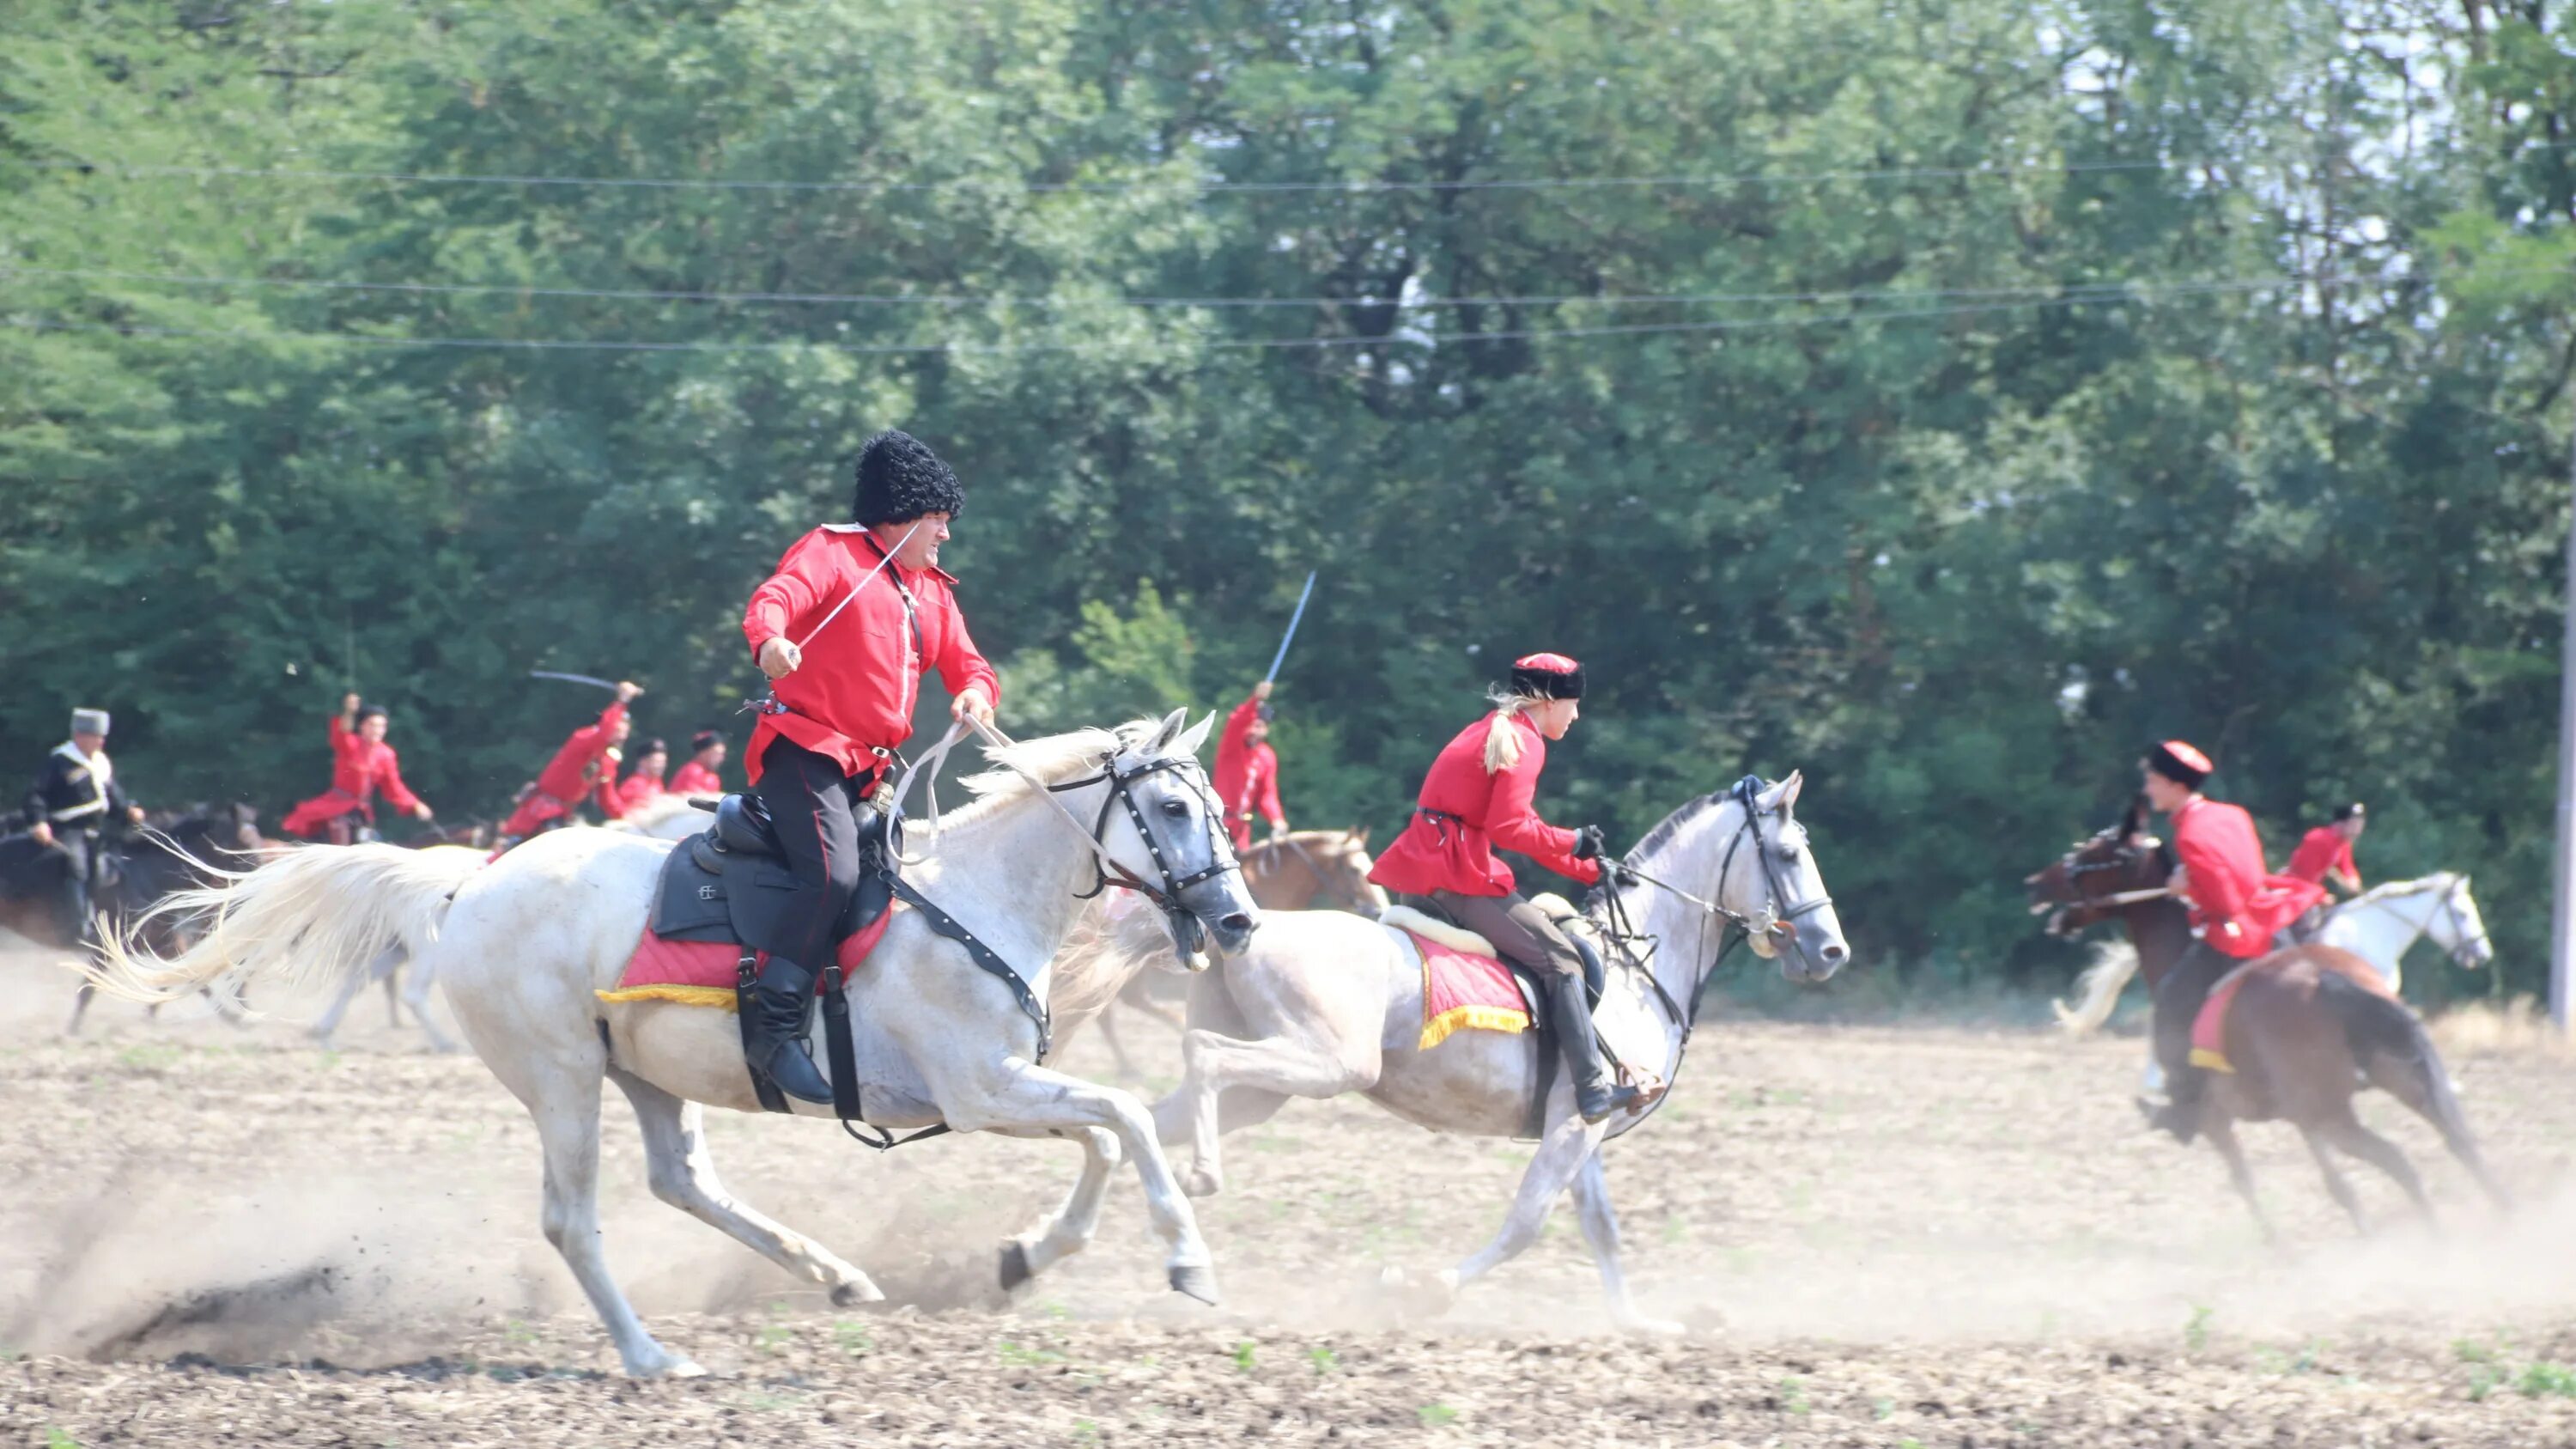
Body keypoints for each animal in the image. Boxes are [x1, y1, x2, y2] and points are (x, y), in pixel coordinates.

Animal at [95, 716, 1262, 1371]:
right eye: (1170, 807)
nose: (1242, 918)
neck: (972, 898)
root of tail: (475, 879)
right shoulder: (981, 1091)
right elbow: (1123, 1122)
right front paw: (1187, 1260)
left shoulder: (1001, 1091)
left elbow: (1105, 1137)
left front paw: (1028, 1254)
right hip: (563, 1081)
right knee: (574, 1221)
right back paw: (652, 1356)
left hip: (648, 1075)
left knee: (682, 1182)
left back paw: (836, 1276)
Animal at [1118, 773, 1844, 1330]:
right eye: (1787, 853)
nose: (1831, 950)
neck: (1636, 966)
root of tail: (1248, 927)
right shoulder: (1575, 1126)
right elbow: (1526, 1223)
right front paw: (1423, 1287)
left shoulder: (1584, 1123)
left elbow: (1601, 1230)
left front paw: (1641, 1321)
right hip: (1321, 1063)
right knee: (1202, 1054)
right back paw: (1199, 1177)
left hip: (1265, 1089)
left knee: (1144, 1117)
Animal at [2020, 799, 2504, 1227]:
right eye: (2462, 912)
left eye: (2090, 853)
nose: (2035, 882)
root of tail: (2329, 981)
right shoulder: (2293, 1112)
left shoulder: (2230, 1116)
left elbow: (2260, 1182)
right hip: (2387, 1084)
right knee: (2458, 1146)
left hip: (2334, 1106)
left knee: (2412, 1159)